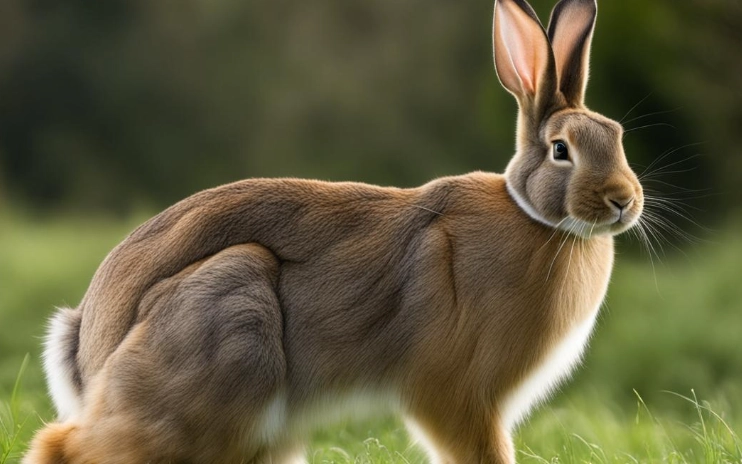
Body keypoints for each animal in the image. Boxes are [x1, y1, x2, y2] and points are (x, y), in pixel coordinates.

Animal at [24, 0, 643, 462]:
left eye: (616, 135)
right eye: (561, 150)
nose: (625, 202)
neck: (535, 219)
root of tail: (89, 343)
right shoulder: (457, 395)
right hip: (227, 328)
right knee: (70, 447)